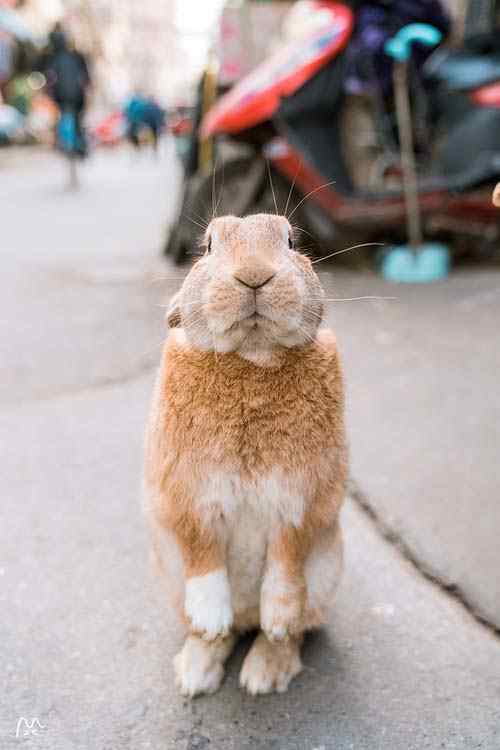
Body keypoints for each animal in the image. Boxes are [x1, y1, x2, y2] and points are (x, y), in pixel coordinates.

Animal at [145, 212, 348, 700]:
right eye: (207, 246)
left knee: (293, 629)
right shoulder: (184, 499)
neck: (252, 359)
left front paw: (278, 619)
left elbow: (287, 560)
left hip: (327, 571)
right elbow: (202, 553)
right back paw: (197, 668)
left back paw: (266, 667)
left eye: (292, 240)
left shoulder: (304, 503)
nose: (254, 276)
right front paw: (209, 619)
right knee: (224, 630)